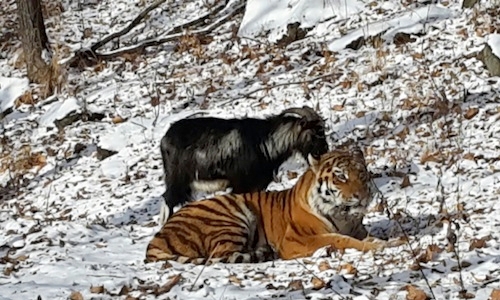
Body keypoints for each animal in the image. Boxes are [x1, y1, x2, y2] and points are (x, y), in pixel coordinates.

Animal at [145, 146, 398, 264]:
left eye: (361, 174)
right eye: (341, 177)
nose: (362, 196)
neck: (343, 215)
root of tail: (157, 237)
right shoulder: (295, 239)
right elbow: (340, 239)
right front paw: (382, 244)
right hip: (231, 216)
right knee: (221, 254)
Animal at [159, 106, 328, 224]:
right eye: (315, 133)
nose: (324, 150)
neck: (264, 142)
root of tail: (164, 139)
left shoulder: (257, 185)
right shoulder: (240, 185)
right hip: (177, 180)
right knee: (168, 200)